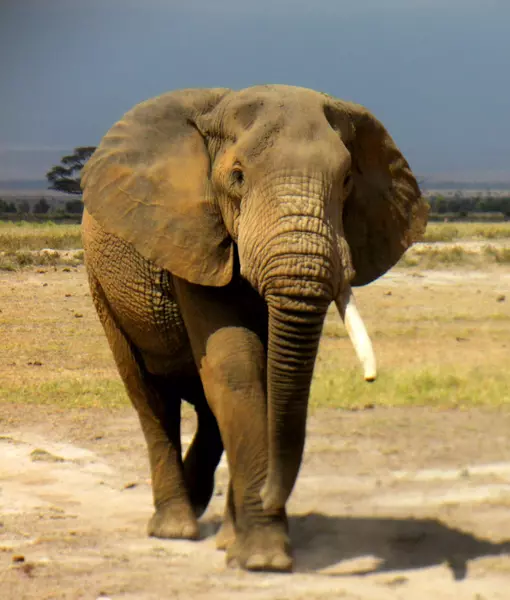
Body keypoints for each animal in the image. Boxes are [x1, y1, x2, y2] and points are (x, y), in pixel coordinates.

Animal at [82, 84, 426, 572]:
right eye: (238, 176)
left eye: (346, 182)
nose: (270, 496)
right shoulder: (194, 236)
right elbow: (237, 366)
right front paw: (265, 559)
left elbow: (262, 374)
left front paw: (242, 546)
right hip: (102, 286)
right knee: (149, 396)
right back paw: (176, 528)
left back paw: (214, 525)